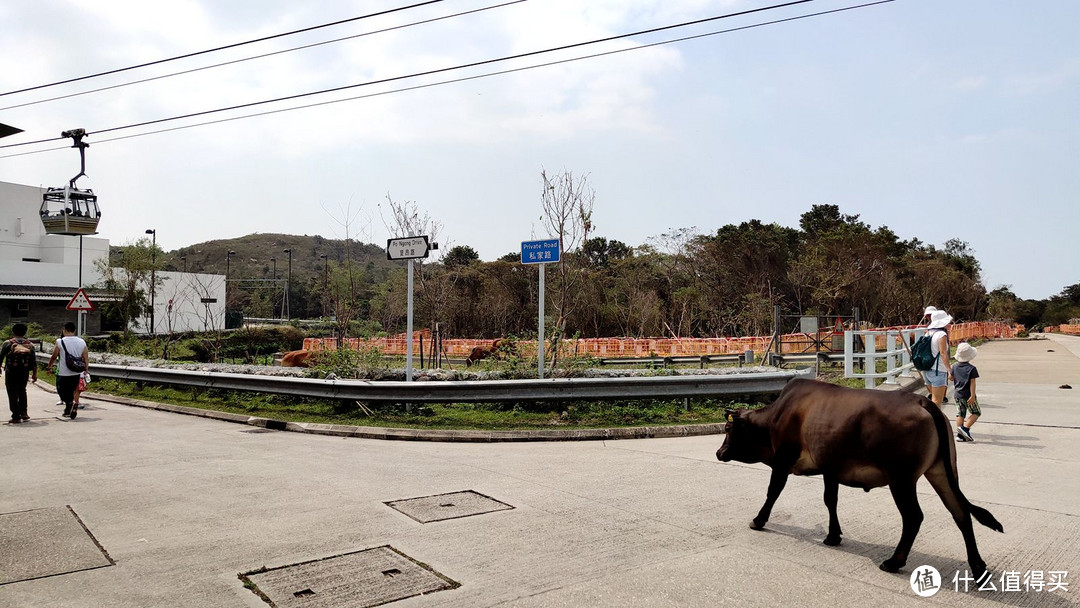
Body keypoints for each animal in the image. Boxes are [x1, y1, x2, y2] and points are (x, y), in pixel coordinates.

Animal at [717, 377, 1002, 583]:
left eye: (729, 429)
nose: (719, 452)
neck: (775, 418)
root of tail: (924, 402)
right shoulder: (830, 468)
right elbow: (830, 500)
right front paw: (833, 536)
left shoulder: (782, 461)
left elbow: (773, 492)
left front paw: (758, 520)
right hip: (941, 470)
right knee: (960, 512)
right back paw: (978, 567)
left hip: (901, 479)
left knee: (914, 517)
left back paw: (894, 562)